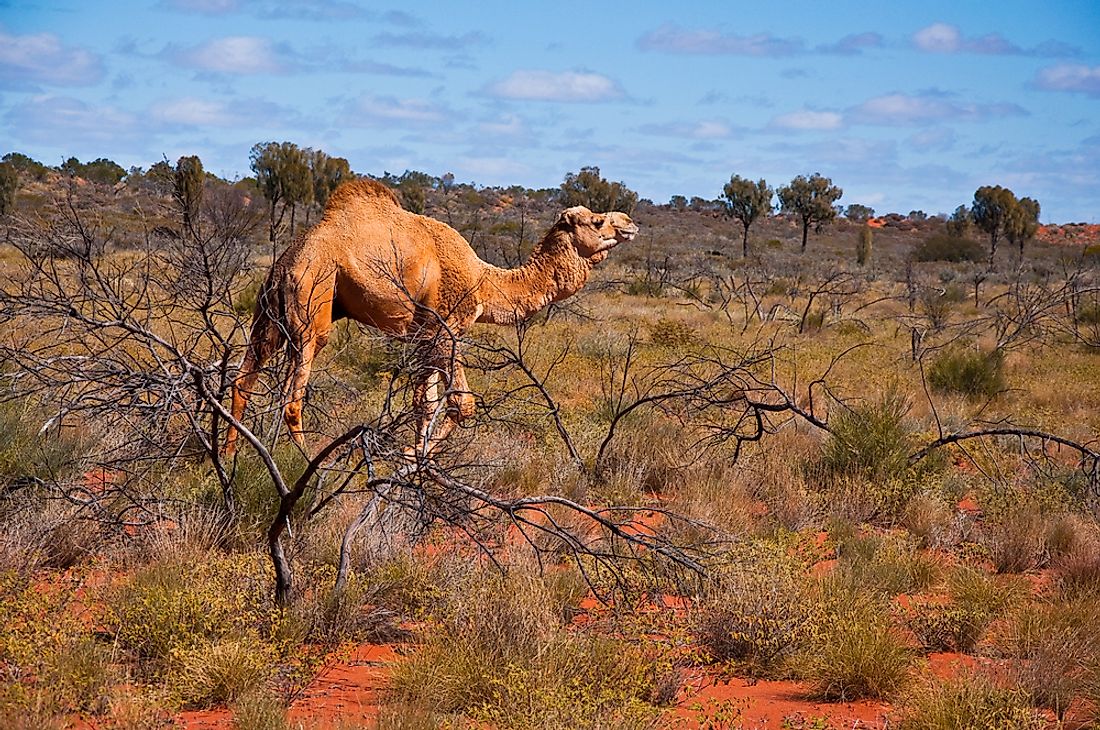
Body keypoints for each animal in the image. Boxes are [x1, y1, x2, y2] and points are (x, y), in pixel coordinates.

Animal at [223, 179, 638, 457]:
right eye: (597, 222)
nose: (629, 222)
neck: (484, 282)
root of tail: (288, 260)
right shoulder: (445, 328)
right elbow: (461, 404)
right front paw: (414, 459)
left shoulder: (422, 337)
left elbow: (424, 403)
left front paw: (417, 462)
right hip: (313, 299)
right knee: (293, 397)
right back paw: (305, 466)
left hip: (269, 310)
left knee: (243, 378)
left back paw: (227, 459)